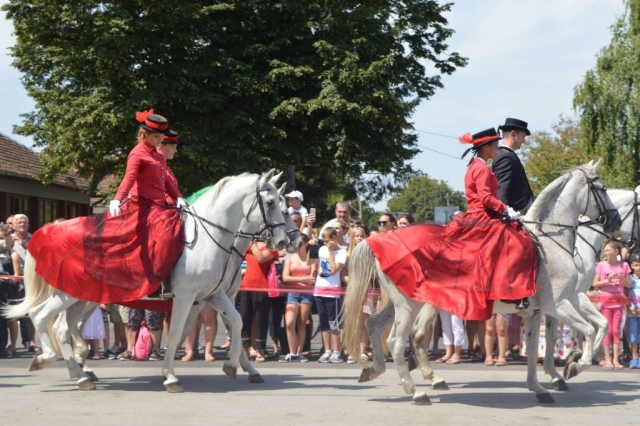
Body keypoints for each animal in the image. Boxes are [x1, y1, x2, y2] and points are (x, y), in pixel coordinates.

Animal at [3, 171, 288, 392]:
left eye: (283, 204)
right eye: (271, 202)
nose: (285, 241)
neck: (212, 238)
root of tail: (49, 231)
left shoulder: (214, 296)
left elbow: (235, 322)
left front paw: (235, 365)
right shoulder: (187, 297)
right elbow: (177, 333)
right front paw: (170, 376)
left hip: (81, 297)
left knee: (64, 327)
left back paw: (81, 372)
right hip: (68, 295)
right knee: (41, 316)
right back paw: (53, 361)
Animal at [344, 160, 620, 402]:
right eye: (603, 188)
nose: (615, 220)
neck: (549, 242)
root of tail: (378, 240)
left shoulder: (544, 308)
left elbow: (537, 347)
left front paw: (540, 387)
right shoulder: (558, 304)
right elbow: (587, 330)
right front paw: (575, 366)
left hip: (400, 303)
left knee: (373, 325)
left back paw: (374, 370)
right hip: (409, 306)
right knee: (397, 340)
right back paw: (417, 392)